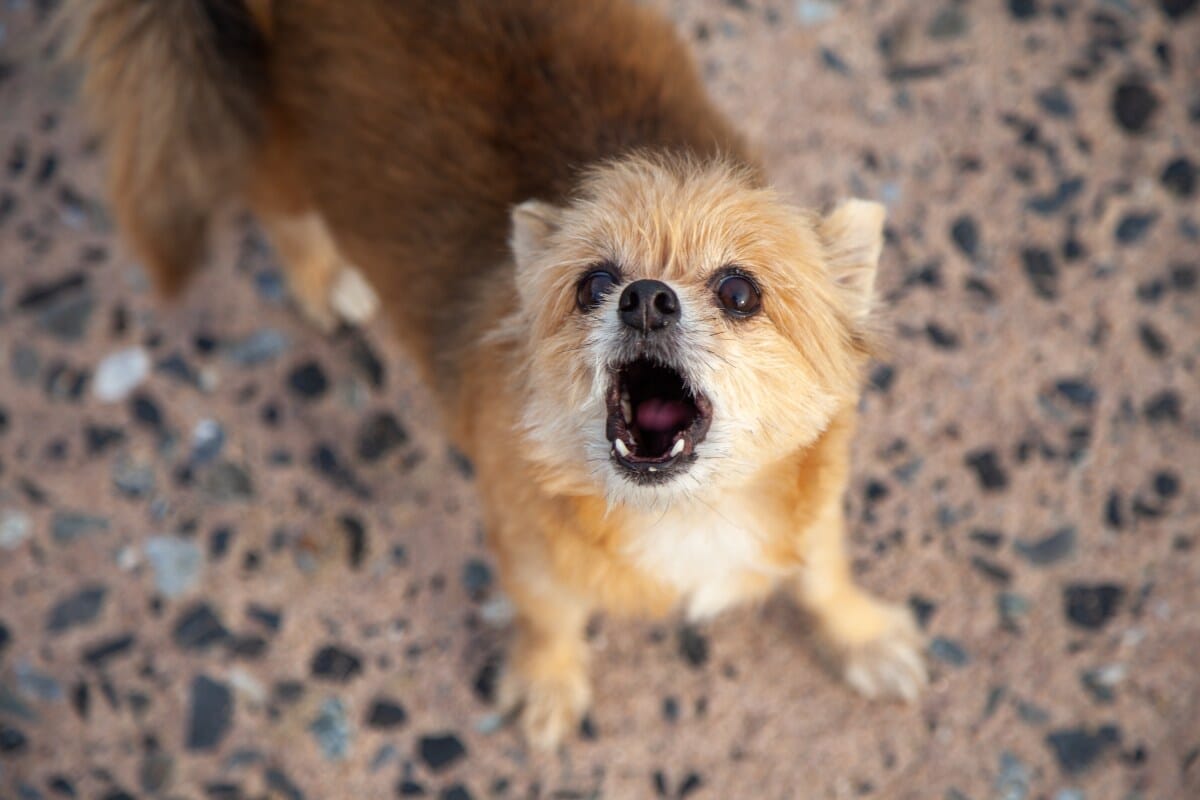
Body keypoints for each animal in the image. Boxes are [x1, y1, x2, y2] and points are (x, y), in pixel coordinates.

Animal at [60, 0, 926, 753]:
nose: (646, 298)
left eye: (741, 292)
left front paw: (863, 635)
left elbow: (822, 575)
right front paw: (549, 685)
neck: (689, 516)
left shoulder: (814, 506)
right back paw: (324, 280)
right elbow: (549, 619)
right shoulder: (524, 551)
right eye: (594, 284)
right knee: (280, 216)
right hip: (271, 146)